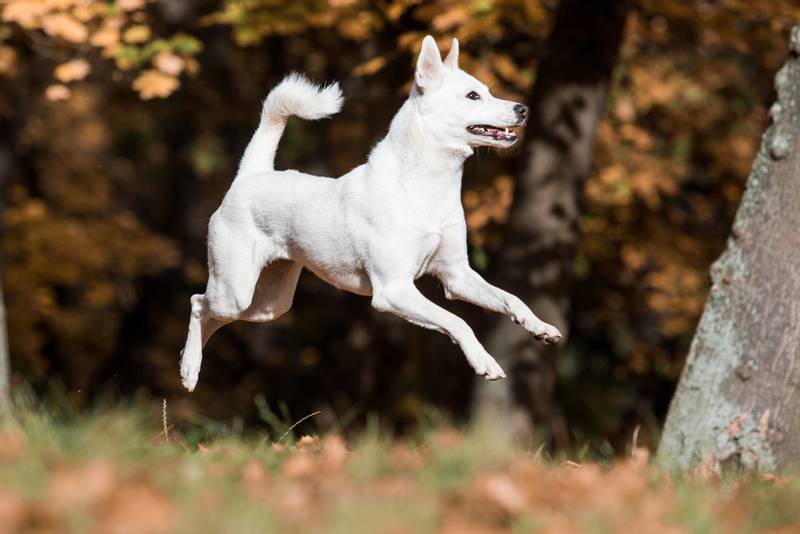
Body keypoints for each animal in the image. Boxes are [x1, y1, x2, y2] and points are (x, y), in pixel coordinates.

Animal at [180, 35, 564, 392]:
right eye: (473, 96)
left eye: (487, 90)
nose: (523, 109)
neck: (426, 187)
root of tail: (251, 175)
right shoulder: (394, 290)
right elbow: (458, 322)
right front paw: (484, 362)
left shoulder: (457, 276)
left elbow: (510, 298)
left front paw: (541, 328)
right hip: (235, 290)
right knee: (198, 304)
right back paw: (188, 368)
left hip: (267, 305)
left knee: (212, 316)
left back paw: (191, 368)